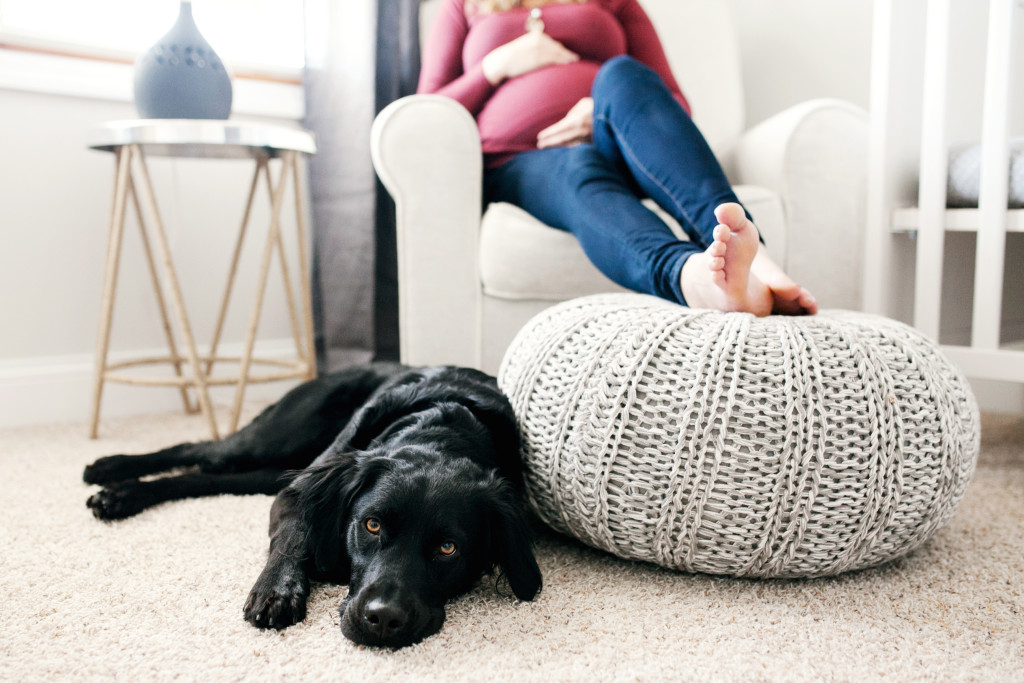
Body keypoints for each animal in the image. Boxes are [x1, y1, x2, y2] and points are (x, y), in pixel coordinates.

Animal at [83, 362, 544, 647]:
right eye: (372, 525)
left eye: (448, 549)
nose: (382, 619)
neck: (441, 431)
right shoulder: (296, 492)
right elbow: (295, 537)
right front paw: (277, 591)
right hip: (275, 438)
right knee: (198, 448)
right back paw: (108, 471)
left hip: (270, 468)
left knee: (204, 474)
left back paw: (120, 493)